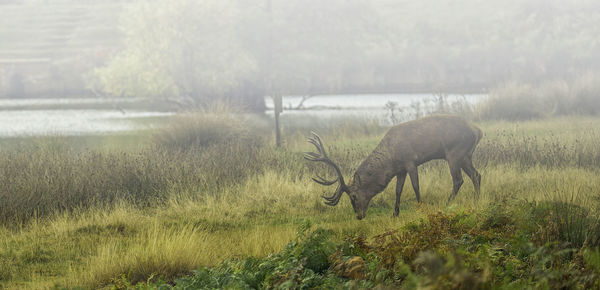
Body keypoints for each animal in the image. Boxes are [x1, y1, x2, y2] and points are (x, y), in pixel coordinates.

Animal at [304, 114, 482, 219]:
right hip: (465, 156)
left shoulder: (410, 161)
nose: (358, 216)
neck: (391, 159)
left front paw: (420, 206)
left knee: (458, 180)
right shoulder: (400, 170)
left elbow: (416, 185)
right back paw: (476, 199)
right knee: (476, 175)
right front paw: (395, 213)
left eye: (353, 196)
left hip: (454, 153)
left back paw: (447, 203)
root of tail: (478, 131)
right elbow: (398, 190)